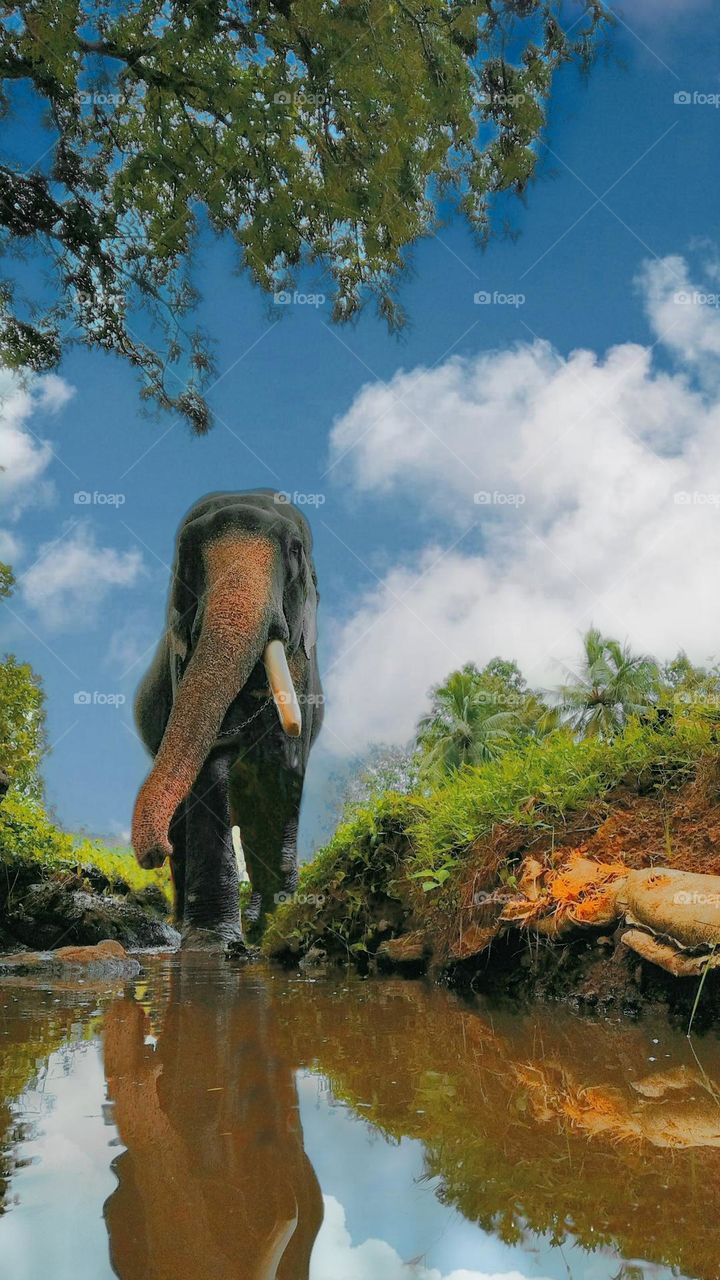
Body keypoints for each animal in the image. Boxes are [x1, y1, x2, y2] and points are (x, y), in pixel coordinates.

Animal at [132, 490, 323, 948]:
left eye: (294, 550)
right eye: (185, 556)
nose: (152, 853)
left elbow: (285, 767)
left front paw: (272, 926)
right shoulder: (179, 657)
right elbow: (209, 772)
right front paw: (212, 942)